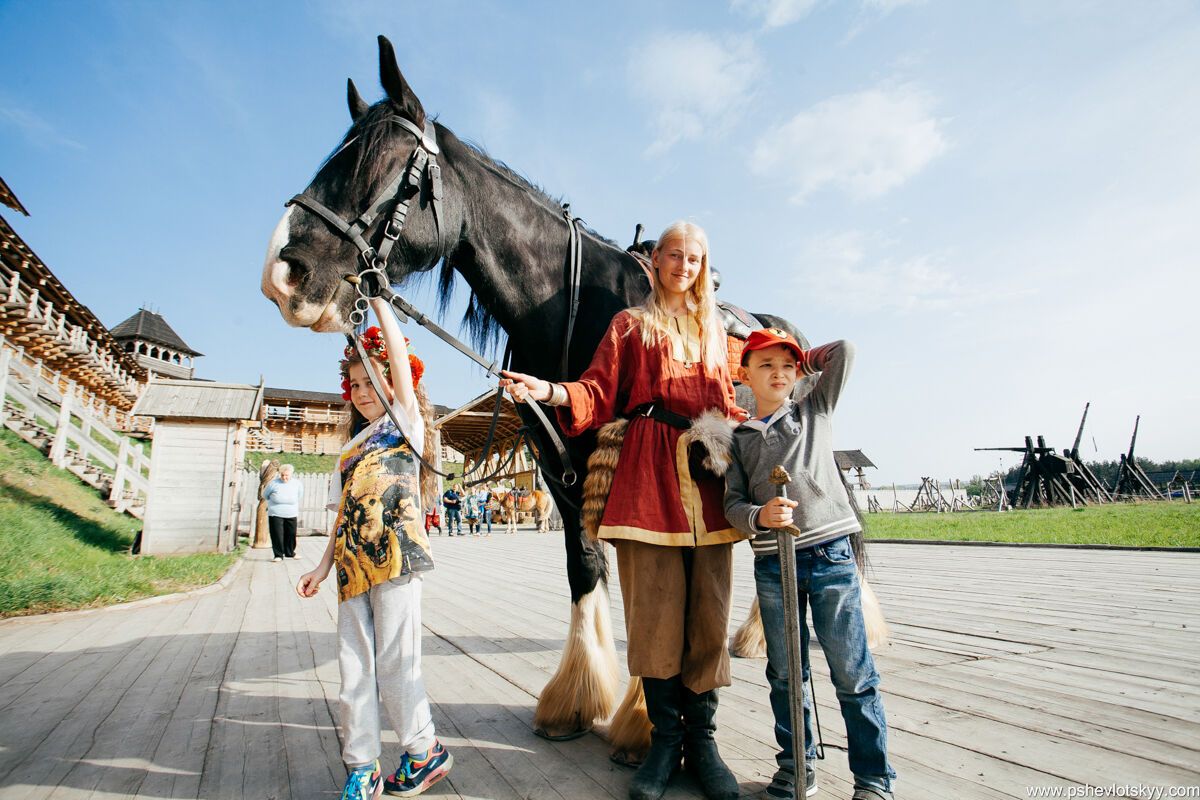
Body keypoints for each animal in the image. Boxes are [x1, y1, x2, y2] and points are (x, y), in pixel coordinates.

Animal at [260, 34, 873, 753]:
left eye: (386, 167)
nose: (283, 271)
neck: (574, 307)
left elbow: (649, 583)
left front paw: (642, 718)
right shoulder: (562, 471)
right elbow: (586, 569)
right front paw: (578, 697)